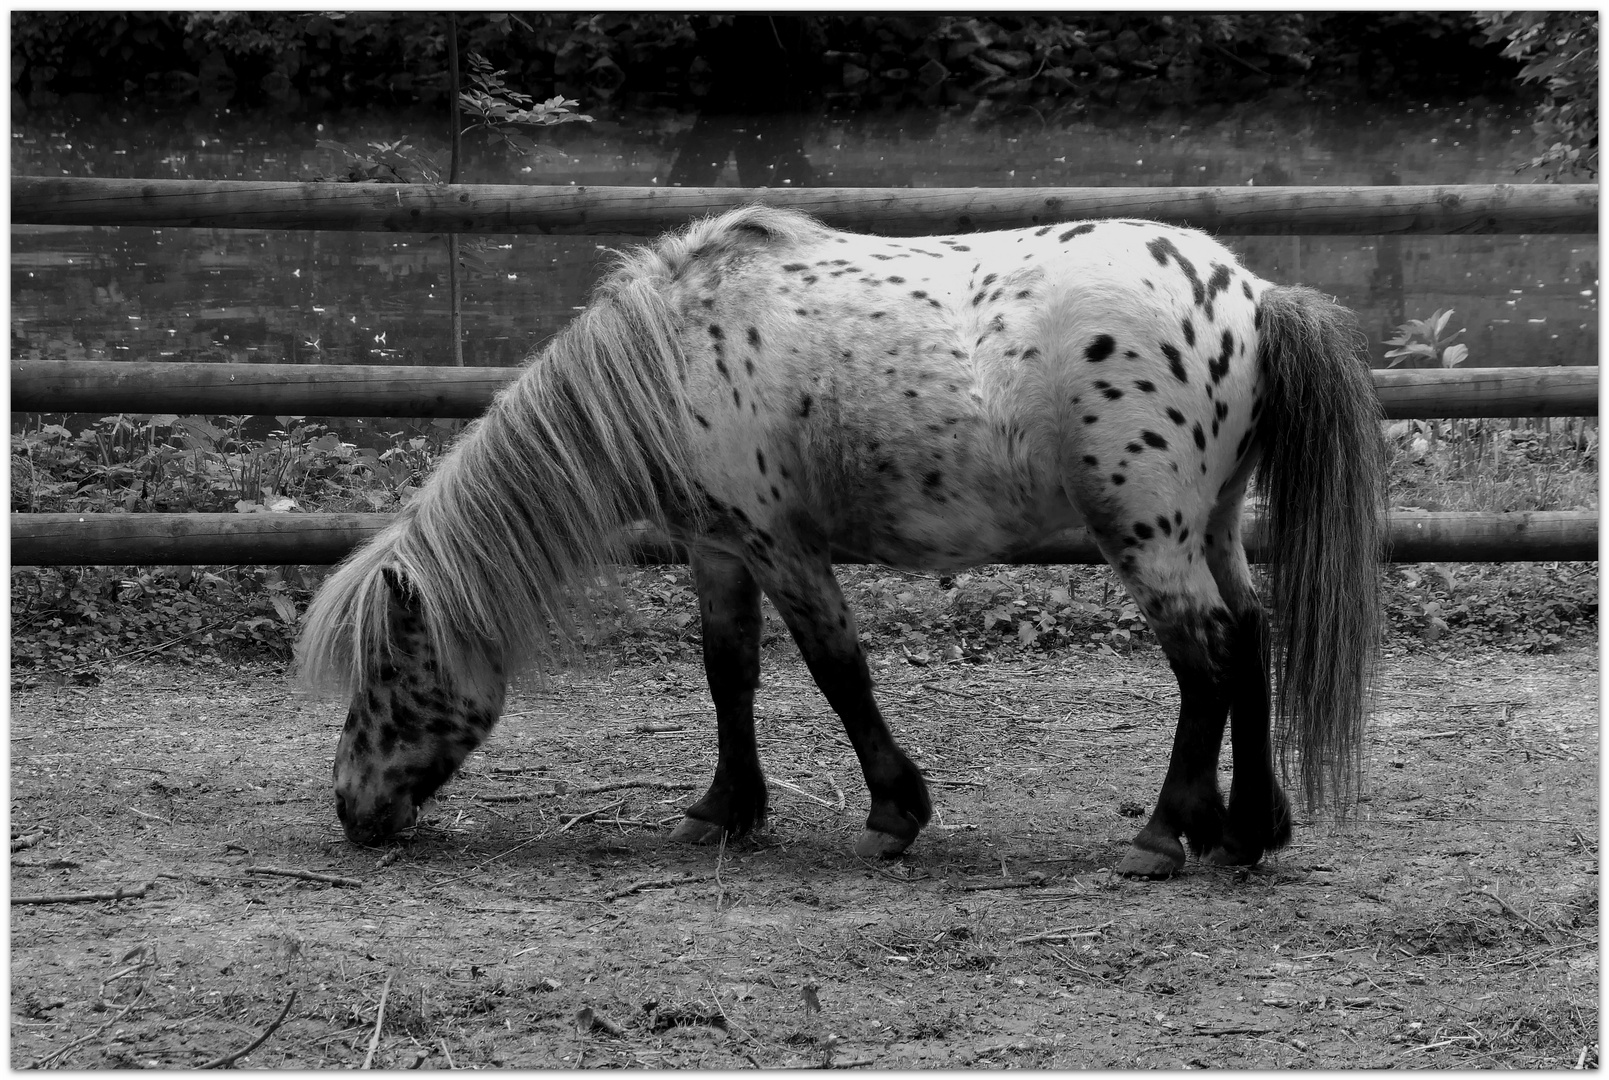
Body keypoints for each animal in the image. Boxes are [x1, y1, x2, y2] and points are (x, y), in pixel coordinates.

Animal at [299, 202, 1383, 875]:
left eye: (385, 670)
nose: (350, 810)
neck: (671, 353)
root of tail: (1249, 295)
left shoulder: (781, 546)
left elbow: (836, 670)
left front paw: (892, 815)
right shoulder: (720, 551)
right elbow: (727, 671)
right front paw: (723, 810)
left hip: (1148, 537)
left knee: (1205, 659)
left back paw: (1163, 836)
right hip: (1211, 527)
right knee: (1251, 635)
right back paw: (1246, 831)